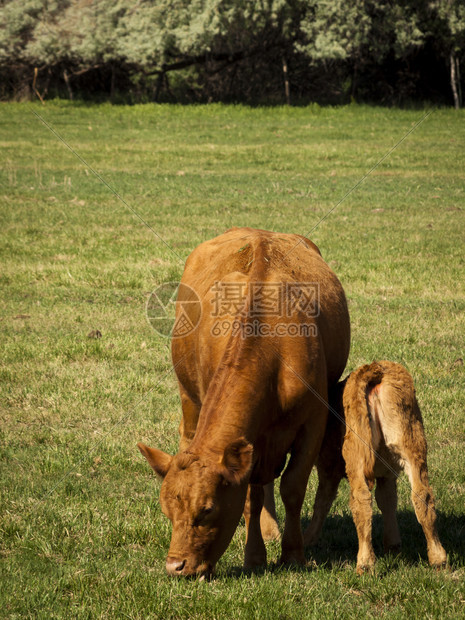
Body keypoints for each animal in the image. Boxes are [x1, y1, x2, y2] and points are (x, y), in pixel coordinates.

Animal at [138, 226, 348, 576]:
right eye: (167, 512)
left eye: (207, 510)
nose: (175, 566)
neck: (274, 347)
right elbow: (251, 496)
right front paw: (255, 556)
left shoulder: (313, 423)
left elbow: (292, 487)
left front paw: (292, 553)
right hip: (189, 395)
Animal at [304, 360, 446, 572]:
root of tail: (375, 370)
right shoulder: (386, 474)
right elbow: (388, 501)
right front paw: (393, 546)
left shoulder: (328, 470)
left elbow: (321, 502)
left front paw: (308, 539)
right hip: (413, 445)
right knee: (423, 495)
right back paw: (438, 558)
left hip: (356, 456)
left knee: (361, 499)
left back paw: (365, 563)